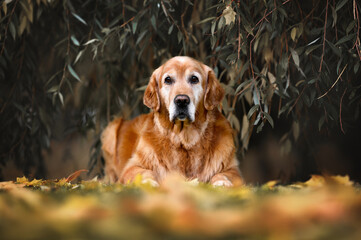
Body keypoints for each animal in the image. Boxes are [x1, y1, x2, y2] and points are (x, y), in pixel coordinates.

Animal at [100, 56, 243, 188]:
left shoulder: (232, 168)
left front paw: (222, 182)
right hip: (111, 129)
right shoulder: (132, 167)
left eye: (194, 79)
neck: (184, 141)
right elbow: (144, 173)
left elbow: (223, 174)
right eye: (168, 80)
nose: (181, 100)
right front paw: (148, 183)